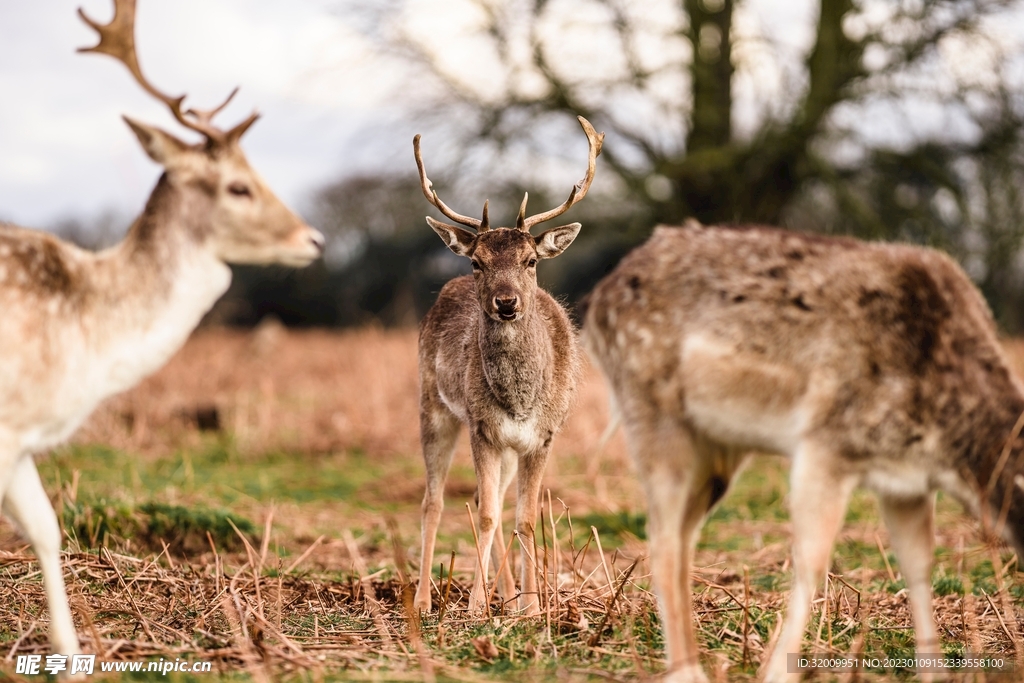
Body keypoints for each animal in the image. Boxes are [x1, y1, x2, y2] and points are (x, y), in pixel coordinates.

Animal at [407, 116, 598, 614]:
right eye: (478, 261)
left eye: (530, 260)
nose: (506, 302)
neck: (520, 401)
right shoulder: (482, 428)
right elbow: (489, 514)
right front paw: (476, 606)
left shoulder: (543, 436)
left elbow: (525, 518)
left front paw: (531, 606)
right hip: (433, 406)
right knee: (435, 502)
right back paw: (423, 600)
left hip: (507, 447)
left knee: (484, 498)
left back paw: (508, 597)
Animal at [585, 220, 1024, 683]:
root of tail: (594, 301)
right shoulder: (825, 444)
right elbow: (812, 560)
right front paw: (778, 672)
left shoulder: (907, 482)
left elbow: (919, 564)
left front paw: (934, 673)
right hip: (651, 411)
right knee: (662, 536)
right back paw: (686, 672)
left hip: (717, 449)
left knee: (683, 534)